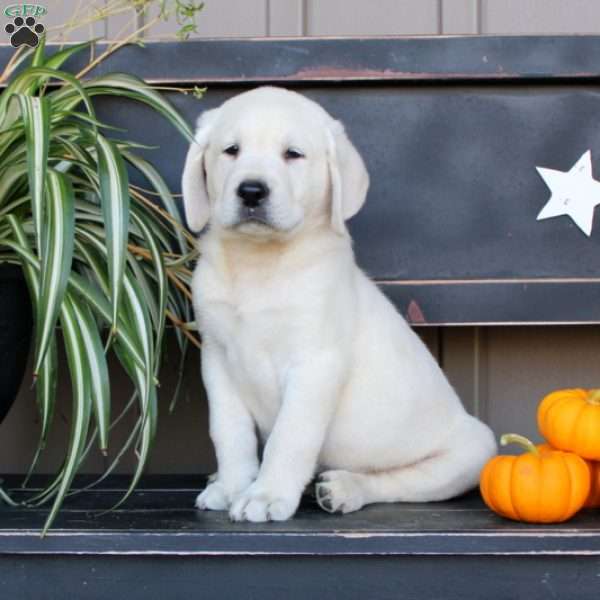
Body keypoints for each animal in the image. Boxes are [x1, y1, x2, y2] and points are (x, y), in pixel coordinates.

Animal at [183, 84, 496, 520]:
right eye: (231, 150)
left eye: (293, 154)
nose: (251, 191)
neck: (258, 265)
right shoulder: (217, 360)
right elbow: (229, 433)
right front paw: (231, 486)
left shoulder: (315, 363)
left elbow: (289, 437)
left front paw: (266, 495)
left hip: (470, 452)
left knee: (392, 482)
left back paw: (345, 488)